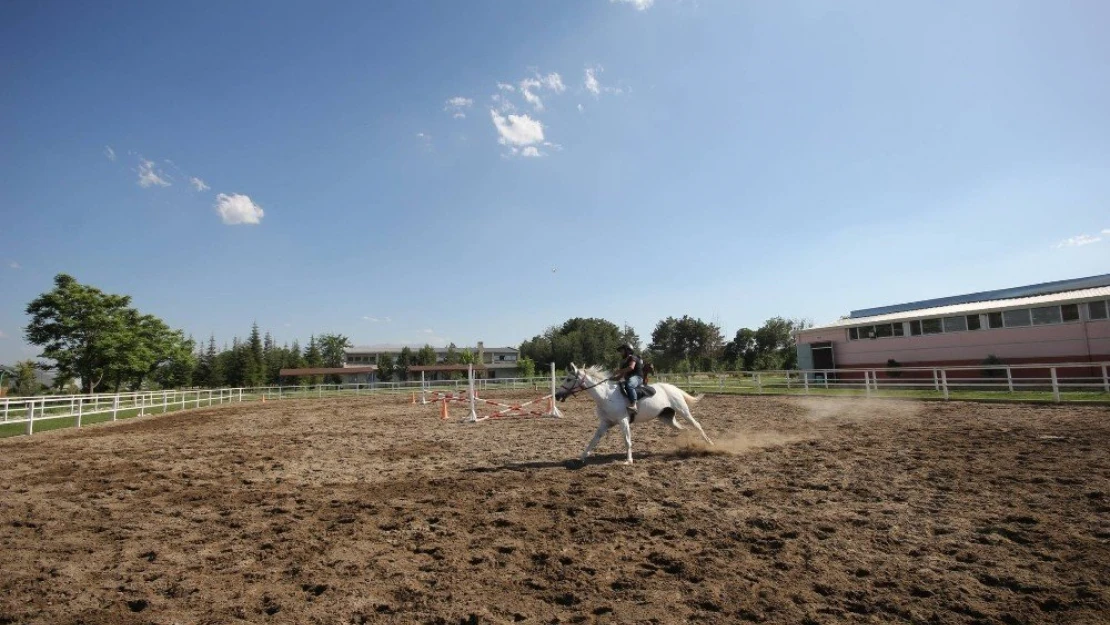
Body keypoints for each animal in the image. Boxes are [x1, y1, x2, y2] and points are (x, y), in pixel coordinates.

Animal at [552, 361, 714, 464]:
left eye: (568, 379)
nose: (557, 395)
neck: (605, 395)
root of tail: (673, 388)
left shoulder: (623, 421)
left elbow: (627, 440)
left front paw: (629, 460)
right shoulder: (605, 423)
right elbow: (594, 439)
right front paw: (582, 456)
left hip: (683, 411)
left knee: (697, 425)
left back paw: (710, 444)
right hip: (667, 418)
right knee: (684, 429)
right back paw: (687, 446)